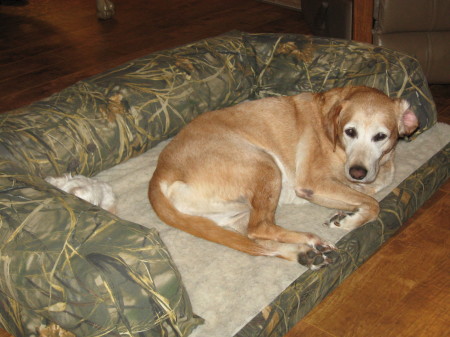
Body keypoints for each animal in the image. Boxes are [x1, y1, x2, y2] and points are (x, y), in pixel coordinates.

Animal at [149, 86, 420, 268]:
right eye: (350, 131)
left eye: (381, 136)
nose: (357, 172)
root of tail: (160, 174)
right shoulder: (312, 184)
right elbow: (373, 205)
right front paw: (349, 221)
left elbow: (365, 196)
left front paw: (346, 213)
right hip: (265, 166)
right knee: (260, 228)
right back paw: (310, 240)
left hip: (237, 212)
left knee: (256, 237)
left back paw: (303, 253)